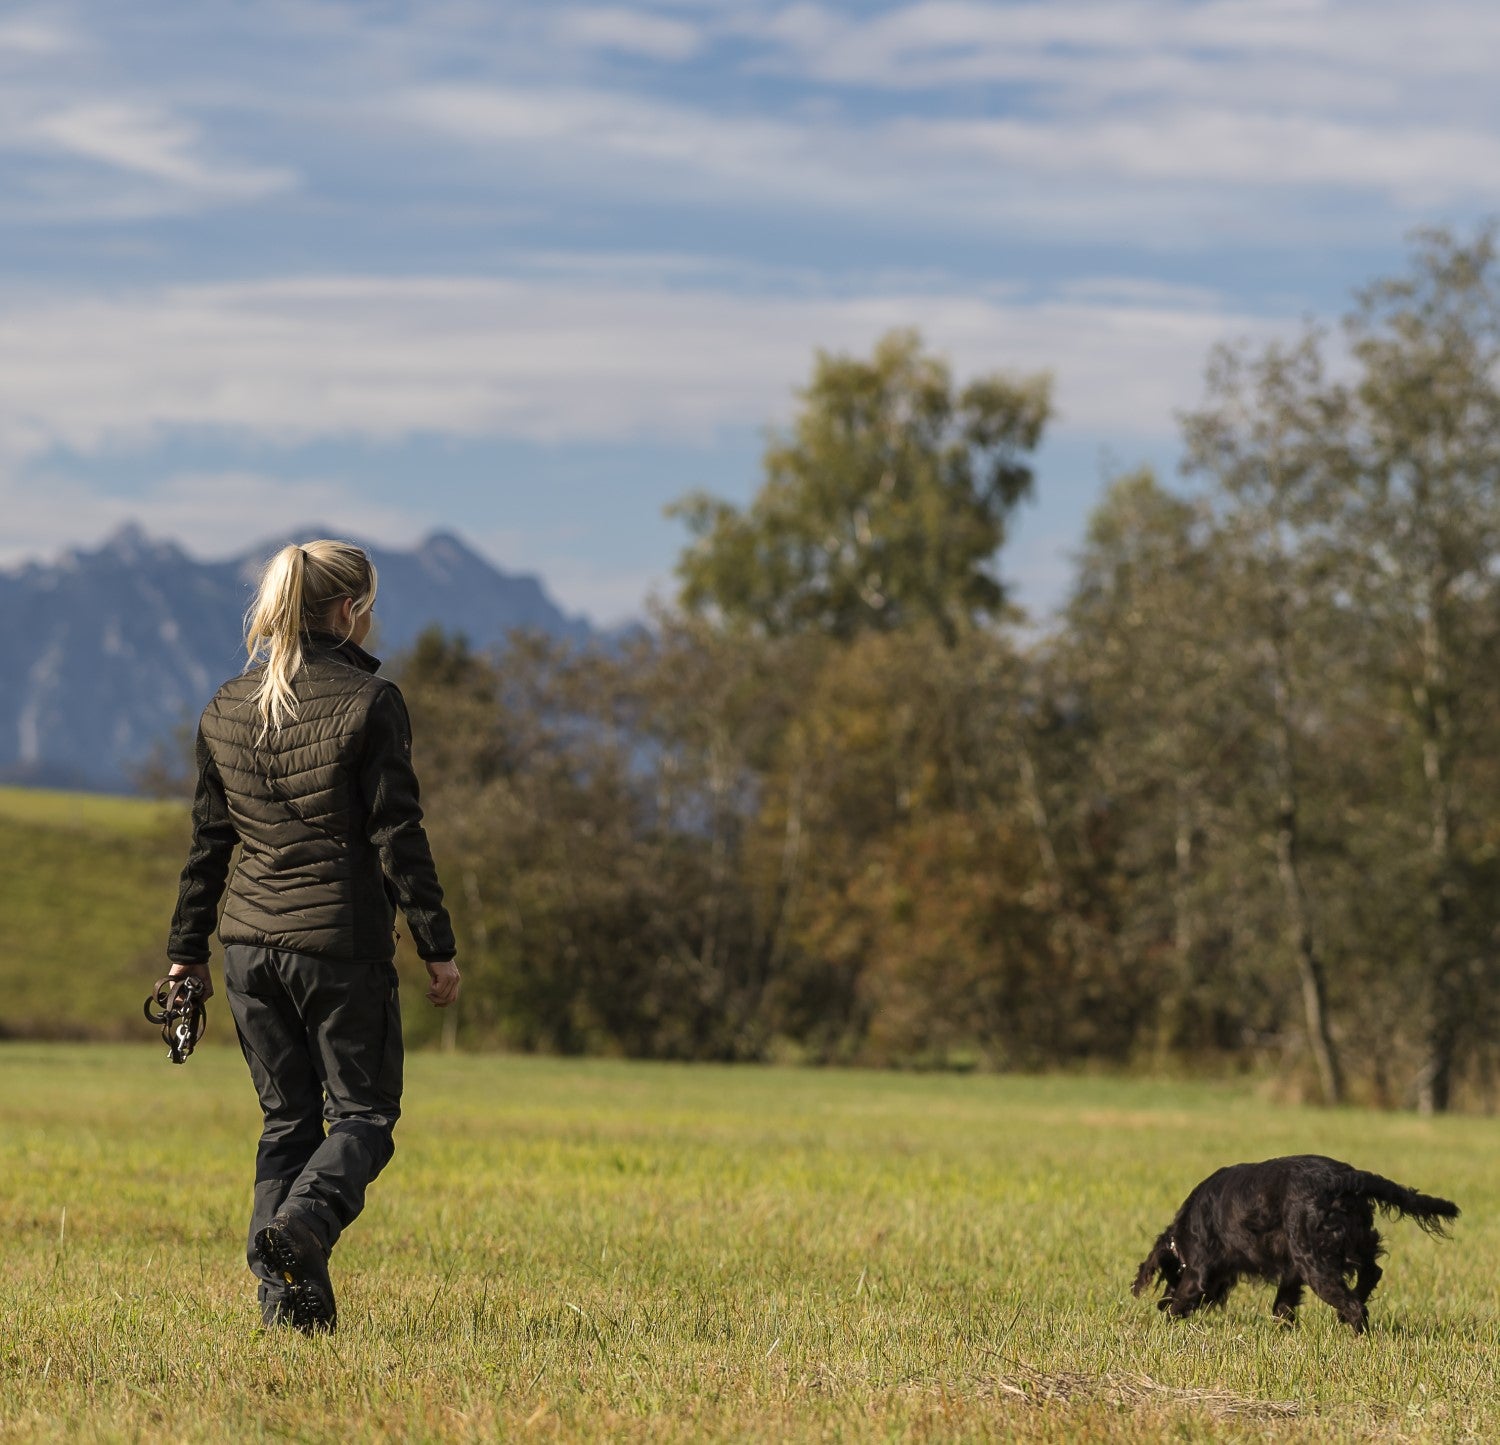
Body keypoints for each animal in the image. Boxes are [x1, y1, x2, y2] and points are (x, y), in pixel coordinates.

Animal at [1128, 1158, 1458, 1338]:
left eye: (1171, 1275)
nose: (1160, 1302)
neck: (1183, 1233)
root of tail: (1347, 1177)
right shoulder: (1291, 1272)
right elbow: (1282, 1307)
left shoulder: (1198, 1273)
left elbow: (1181, 1303)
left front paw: (1162, 1322)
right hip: (1348, 1244)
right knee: (1372, 1273)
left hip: (1316, 1263)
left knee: (1356, 1305)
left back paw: (1356, 1332)